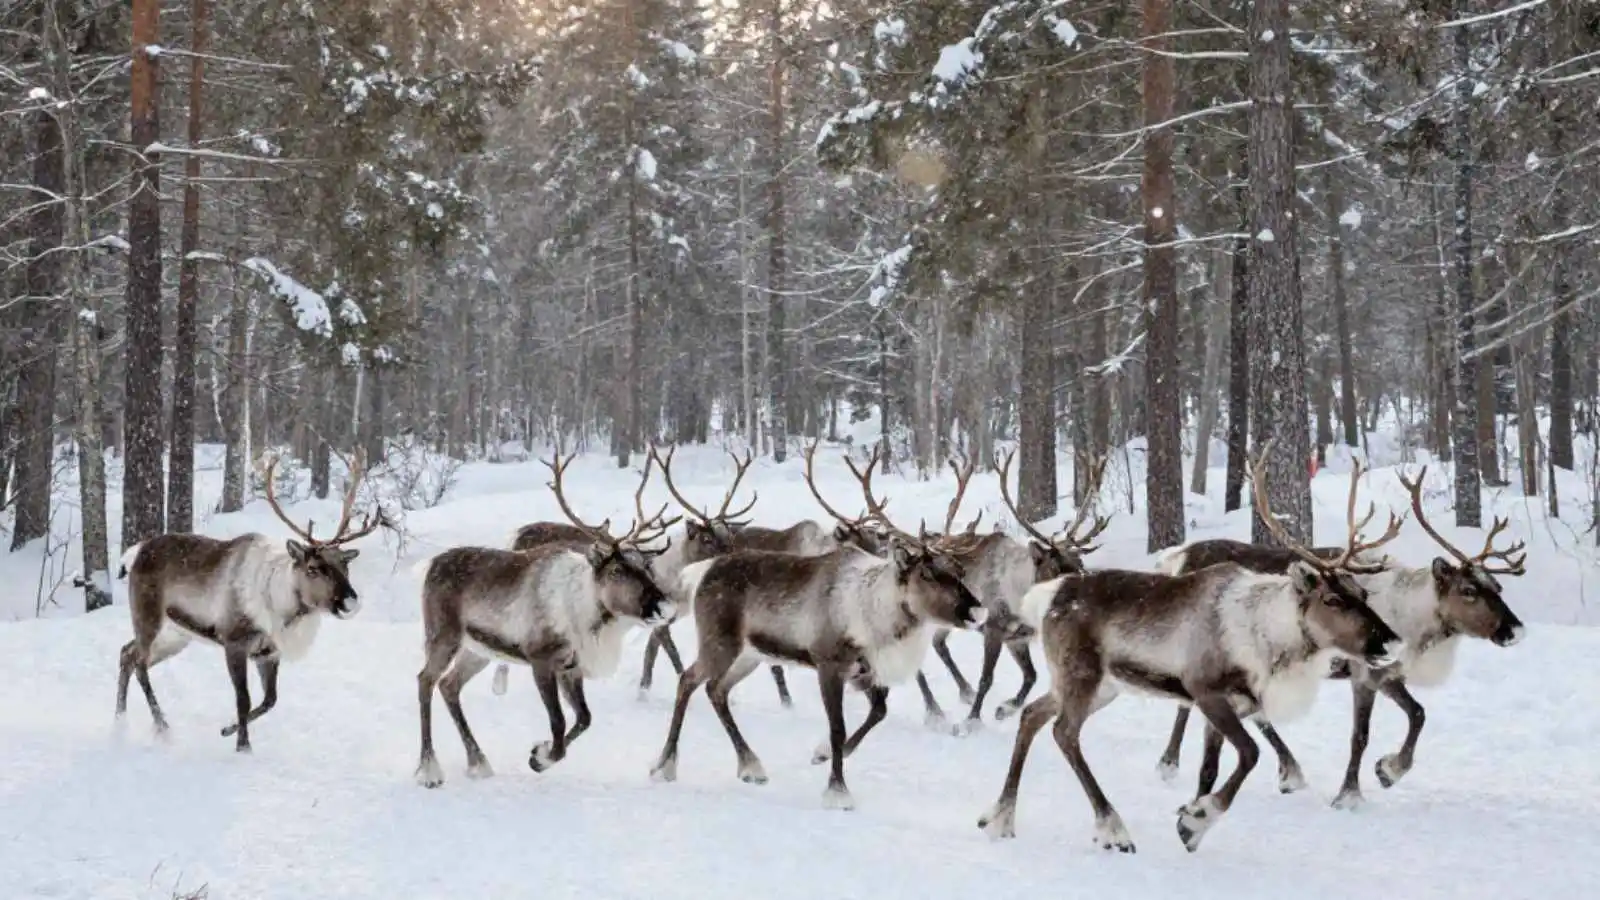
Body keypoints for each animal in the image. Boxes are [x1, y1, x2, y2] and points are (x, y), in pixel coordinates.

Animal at [115, 449, 387, 754]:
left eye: (345, 565)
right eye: (313, 568)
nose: (350, 601)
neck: (283, 610)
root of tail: (134, 553)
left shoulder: (268, 652)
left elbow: (270, 701)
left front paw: (227, 730)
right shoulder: (234, 642)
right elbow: (243, 699)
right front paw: (243, 747)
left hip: (176, 635)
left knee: (126, 653)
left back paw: (120, 722)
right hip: (148, 616)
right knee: (139, 662)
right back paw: (162, 727)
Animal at [413, 452, 680, 789]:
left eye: (646, 566)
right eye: (617, 570)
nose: (664, 606)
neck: (590, 613)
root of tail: (430, 565)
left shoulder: (571, 667)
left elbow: (584, 718)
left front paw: (539, 753)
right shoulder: (540, 659)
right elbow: (559, 722)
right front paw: (539, 757)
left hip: (478, 650)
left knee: (449, 685)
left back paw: (478, 762)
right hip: (443, 636)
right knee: (425, 680)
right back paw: (429, 770)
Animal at [647, 443, 987, 811]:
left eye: (957, 569)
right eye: (926, 573)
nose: (977, 610)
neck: (876, 611)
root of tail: (703, 571)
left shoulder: (863, 670)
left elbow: (878, 712)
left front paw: (823, 753)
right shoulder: (828, 663)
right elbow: (838, 726)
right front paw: (837, 791)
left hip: (750, 655)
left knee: (716, 689)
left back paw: (751, 766)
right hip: (720, 643)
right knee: (688, 680)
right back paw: (664, 766)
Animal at [976, 440, 1406, 853]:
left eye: (1362, 592)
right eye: (1332, 600)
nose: (1392, 639)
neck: (1269, 638)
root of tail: (1049, 594)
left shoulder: (1234, 705)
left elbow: (1210, 769)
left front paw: (1190, 820)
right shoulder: (1206, 690)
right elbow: (1250, 753)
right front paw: (1199, 818)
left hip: (1094, 685)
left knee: (1032, 715)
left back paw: (999, 817)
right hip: (1082, 675)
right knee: (1064, 732)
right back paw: (1111, 827)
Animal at [1170, 464, 1526, 810]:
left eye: (1498, 586)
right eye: (1468, 590)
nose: (1515, 630)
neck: (1412, 621)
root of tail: (1181, 556)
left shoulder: (1386, 674)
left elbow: (1418, 713)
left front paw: (1389, 770)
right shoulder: (1363, 673)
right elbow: (1361, 736)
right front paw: (1348, 795)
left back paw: (1288, 772)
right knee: (1191, 704)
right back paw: (1171, 762)